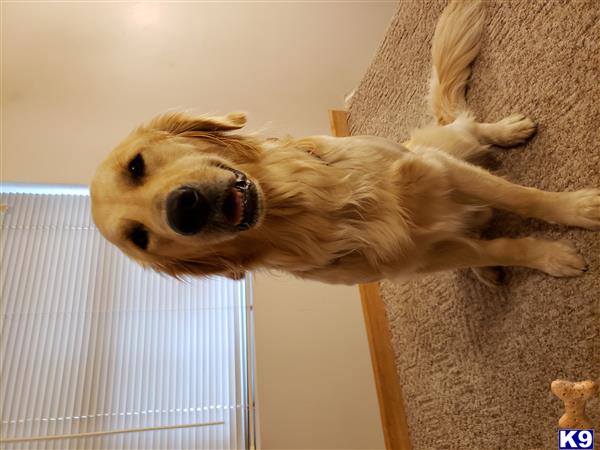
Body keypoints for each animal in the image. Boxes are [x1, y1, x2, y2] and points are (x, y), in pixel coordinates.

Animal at [91, 0, 596, 284]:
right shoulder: (422, 257)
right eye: (140, 238)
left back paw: (508, 129)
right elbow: (501, 246)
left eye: (136, 165)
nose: (184, 209)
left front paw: (575, 208)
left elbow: (522, 196)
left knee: (470, 128)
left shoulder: (438, 170)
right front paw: (547, 256)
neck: (322, 206)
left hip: (446, 147)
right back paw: (483, 269)